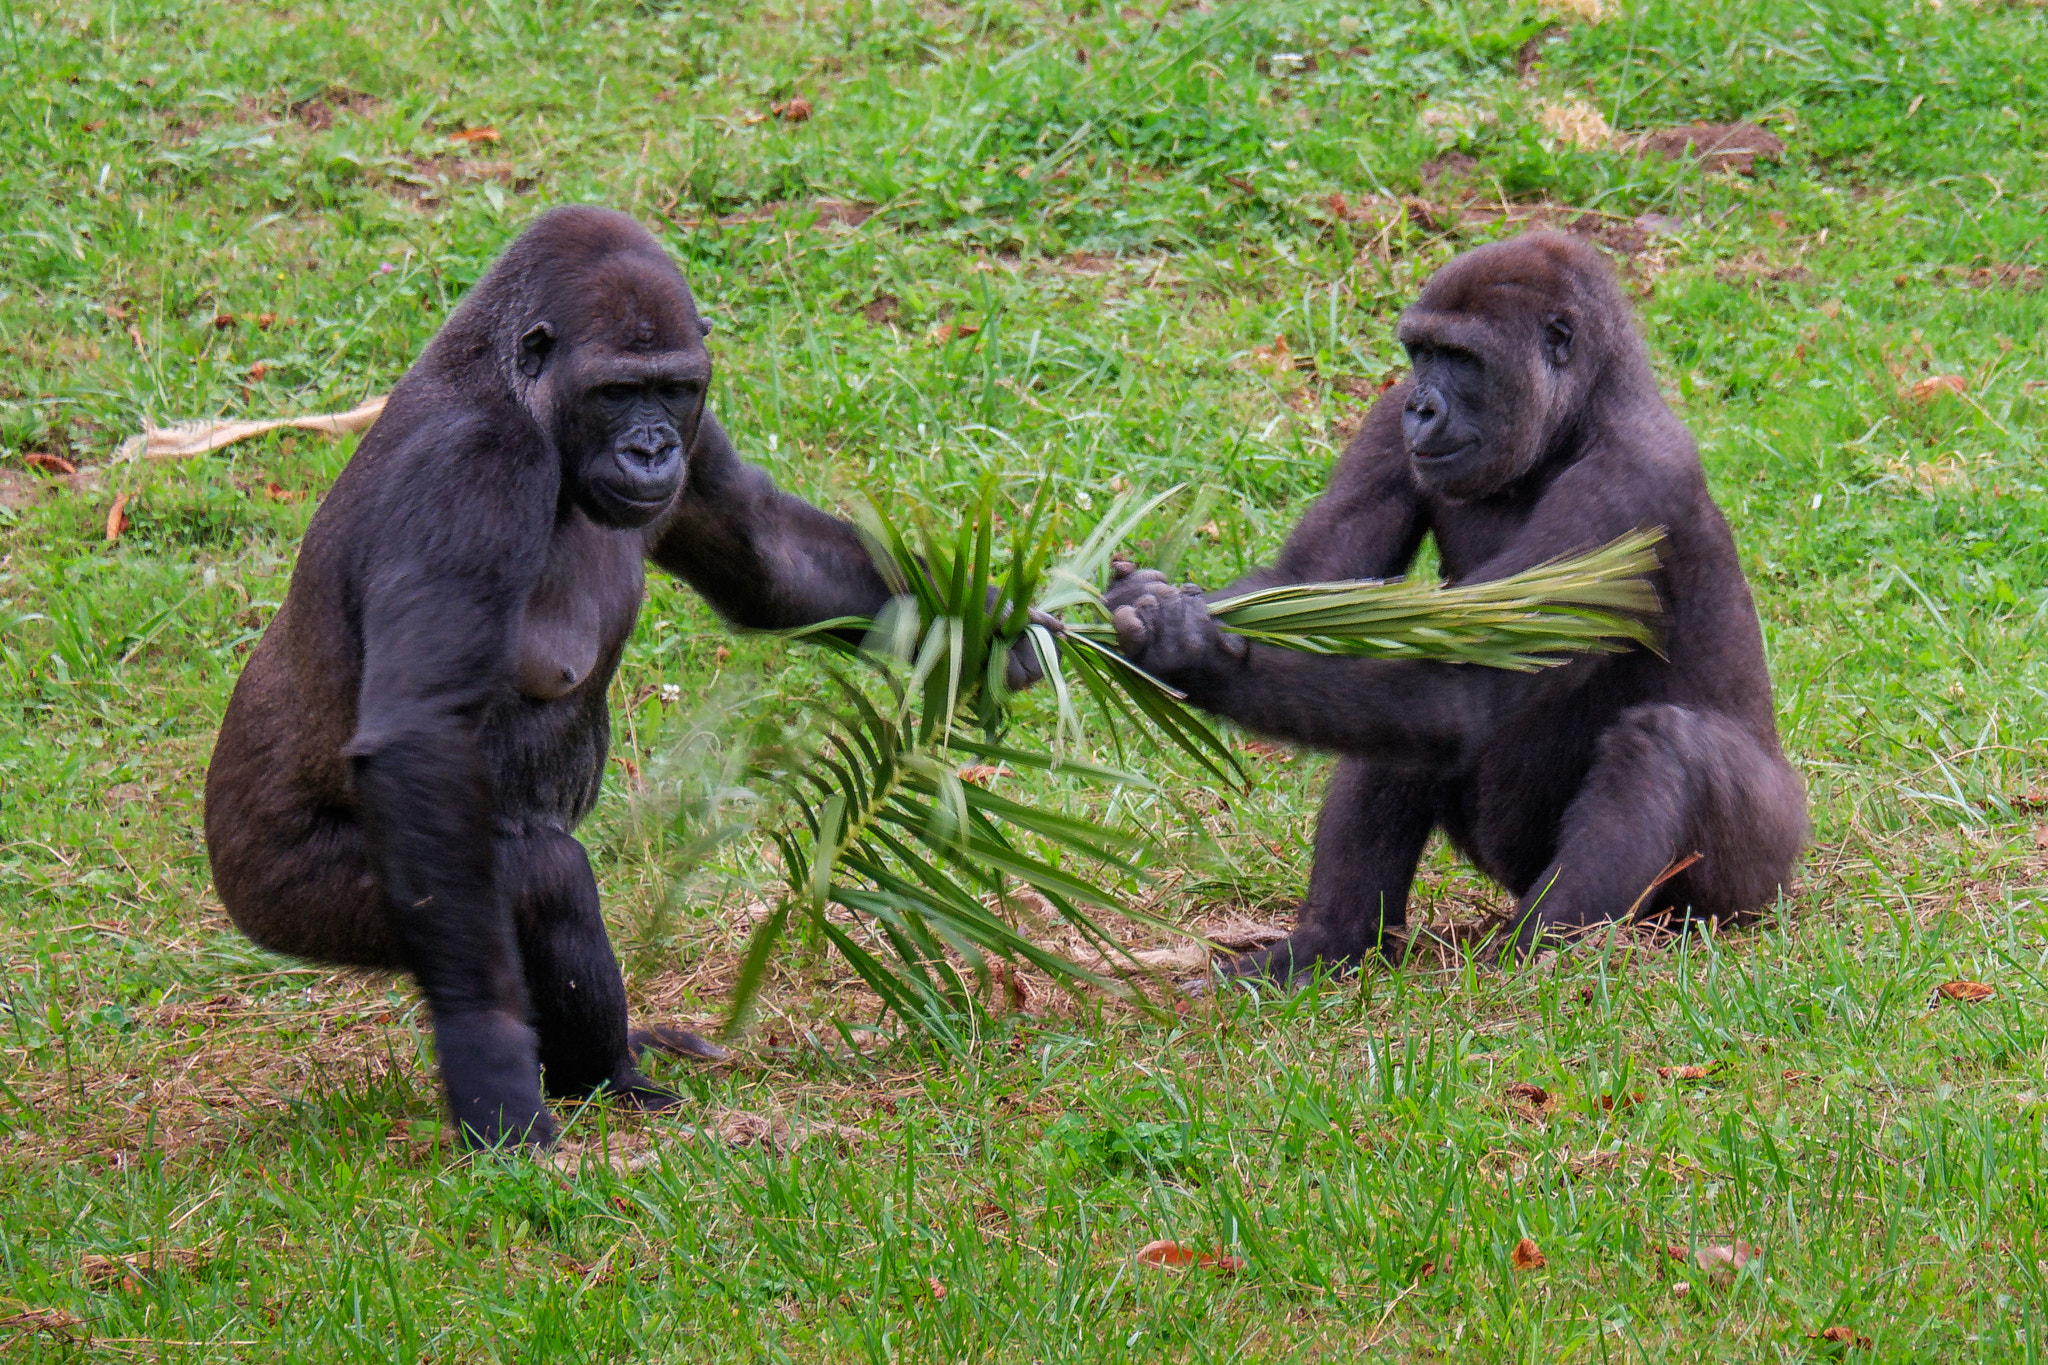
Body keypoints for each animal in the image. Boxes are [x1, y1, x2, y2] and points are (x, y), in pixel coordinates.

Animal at [205, 208, 1024, 1146]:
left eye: (670, 390)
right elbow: (422, 740)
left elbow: (770, 556)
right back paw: (602, 1076)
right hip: (283, 889)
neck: (517, 391)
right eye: (613, 392)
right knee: (538, 877)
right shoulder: (474, 470)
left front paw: (1030, 633)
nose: (650, 448)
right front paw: (484, 1052)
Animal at [1114, 237, 1802, 982]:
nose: (1422, 408)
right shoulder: (1385, 423)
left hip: (1755, 874)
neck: (1579, 417)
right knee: (1395, 715)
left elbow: (1460, 689)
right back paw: (1329, 943)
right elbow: (1310, 588)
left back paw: (1537, 959)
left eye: (1463, 359)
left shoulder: (1632, 478)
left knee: (1664, 742)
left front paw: (1189, 652)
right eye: (1419, 354)